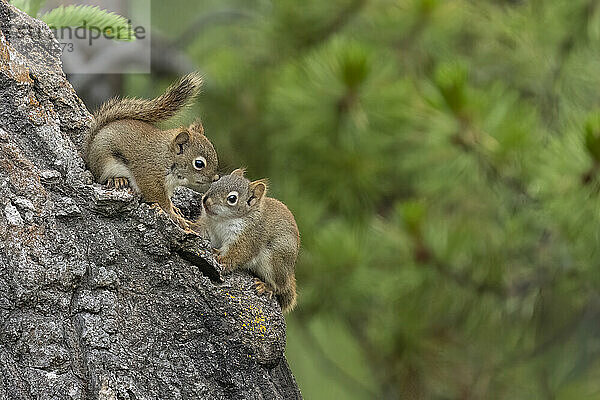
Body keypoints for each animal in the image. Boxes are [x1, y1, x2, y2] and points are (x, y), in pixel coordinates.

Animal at [82, 71, 218, 228]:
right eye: (199, 164)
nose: (215, 178)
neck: (167, 157)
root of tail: (89, 155)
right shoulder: (149, 176)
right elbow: (159, 199)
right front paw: (175, 217)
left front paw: (175, 209)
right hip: (104, 162)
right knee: (101, 178)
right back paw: (118, 179)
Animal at [198, 169, 298, 312]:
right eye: (215, 182)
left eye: (232, 199)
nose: (206, 200)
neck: (222, 220)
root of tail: (289, 273)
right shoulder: (209, 228)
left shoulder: (248, 238)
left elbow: (237, 254)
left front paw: (221, 261)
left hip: (275, 260)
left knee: (279, 287)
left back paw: (265, 287)